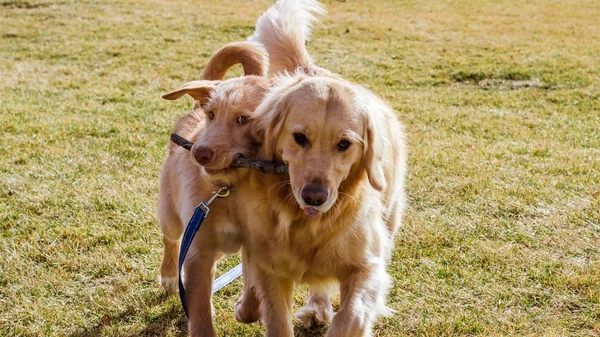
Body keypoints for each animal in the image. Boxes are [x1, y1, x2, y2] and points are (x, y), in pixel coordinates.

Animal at [159, 40, 272, 334]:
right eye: (212, 115)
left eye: (243, 119)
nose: (198, 153)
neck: (230, 192)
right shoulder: (197, 255)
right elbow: (200, 319)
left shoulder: (257, 246)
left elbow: (253, 289)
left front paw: (245, 310)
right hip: (171, 214)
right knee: (170, 240)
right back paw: (168, 275)